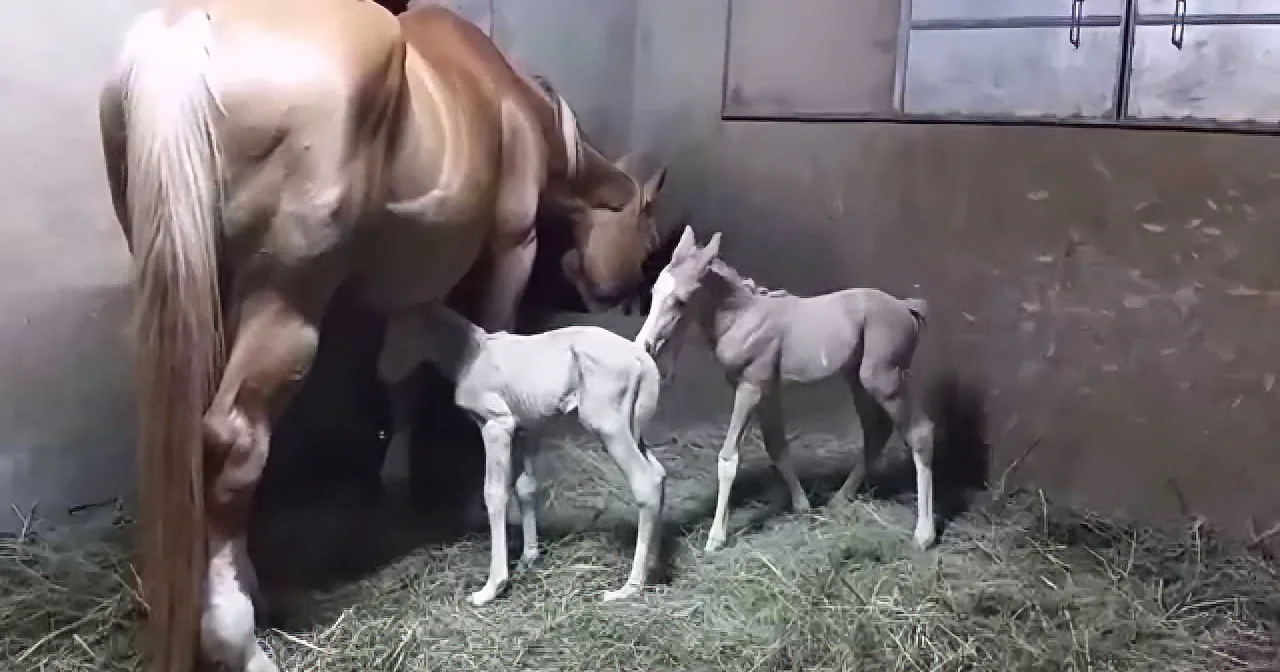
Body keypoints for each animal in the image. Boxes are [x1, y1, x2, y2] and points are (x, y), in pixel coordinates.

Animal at [381, 301, 665, 605]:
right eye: (387, 330)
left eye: (406, 334)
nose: (382, 375)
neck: (473, 354)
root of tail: (642, 359)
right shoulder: (523, 430)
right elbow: (525, 487)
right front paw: (528, 559)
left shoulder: (496, 425)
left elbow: (495, 493)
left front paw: (491, 587)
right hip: (633, 427)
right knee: (658, 474)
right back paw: (653, 564)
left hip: (609, 426)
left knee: (645, 481)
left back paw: (630, 587)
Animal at [633, 227, 938, 553]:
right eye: (653, 292)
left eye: (681, 301)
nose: (645, 346)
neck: (742, 318)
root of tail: (906, 308)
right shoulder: (766, 390)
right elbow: (777, 445)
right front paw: (802, 505)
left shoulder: (750, 388)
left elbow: (729, 458)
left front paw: (716, 538)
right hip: (857, 381)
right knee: (875, 433)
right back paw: (839, 499)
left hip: (885, 380)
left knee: (920, 433)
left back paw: (924, 535)